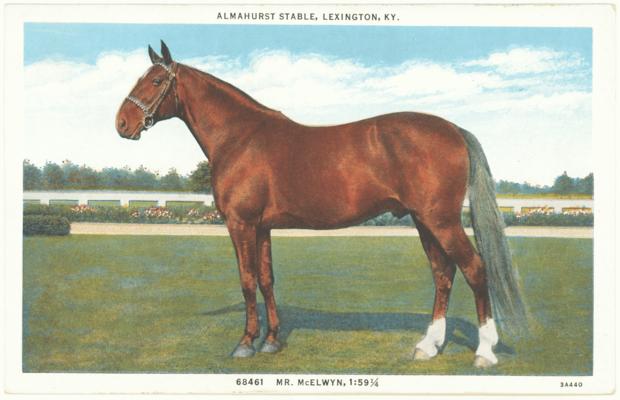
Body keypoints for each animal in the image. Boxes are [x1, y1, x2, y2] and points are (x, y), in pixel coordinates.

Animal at [114, 42, 524, 368]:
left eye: (155, 81)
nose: (122, 123)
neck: (241, 137)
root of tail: (454, 129)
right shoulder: (262, 227)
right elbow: (266, 280)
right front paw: (272, 341)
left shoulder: (241, 223)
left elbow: (247, 280)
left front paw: (245, 343)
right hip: (425, 222)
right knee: (443, 274)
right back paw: (428, 345)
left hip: (441, 220)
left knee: (474, 269)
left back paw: (484, 352)